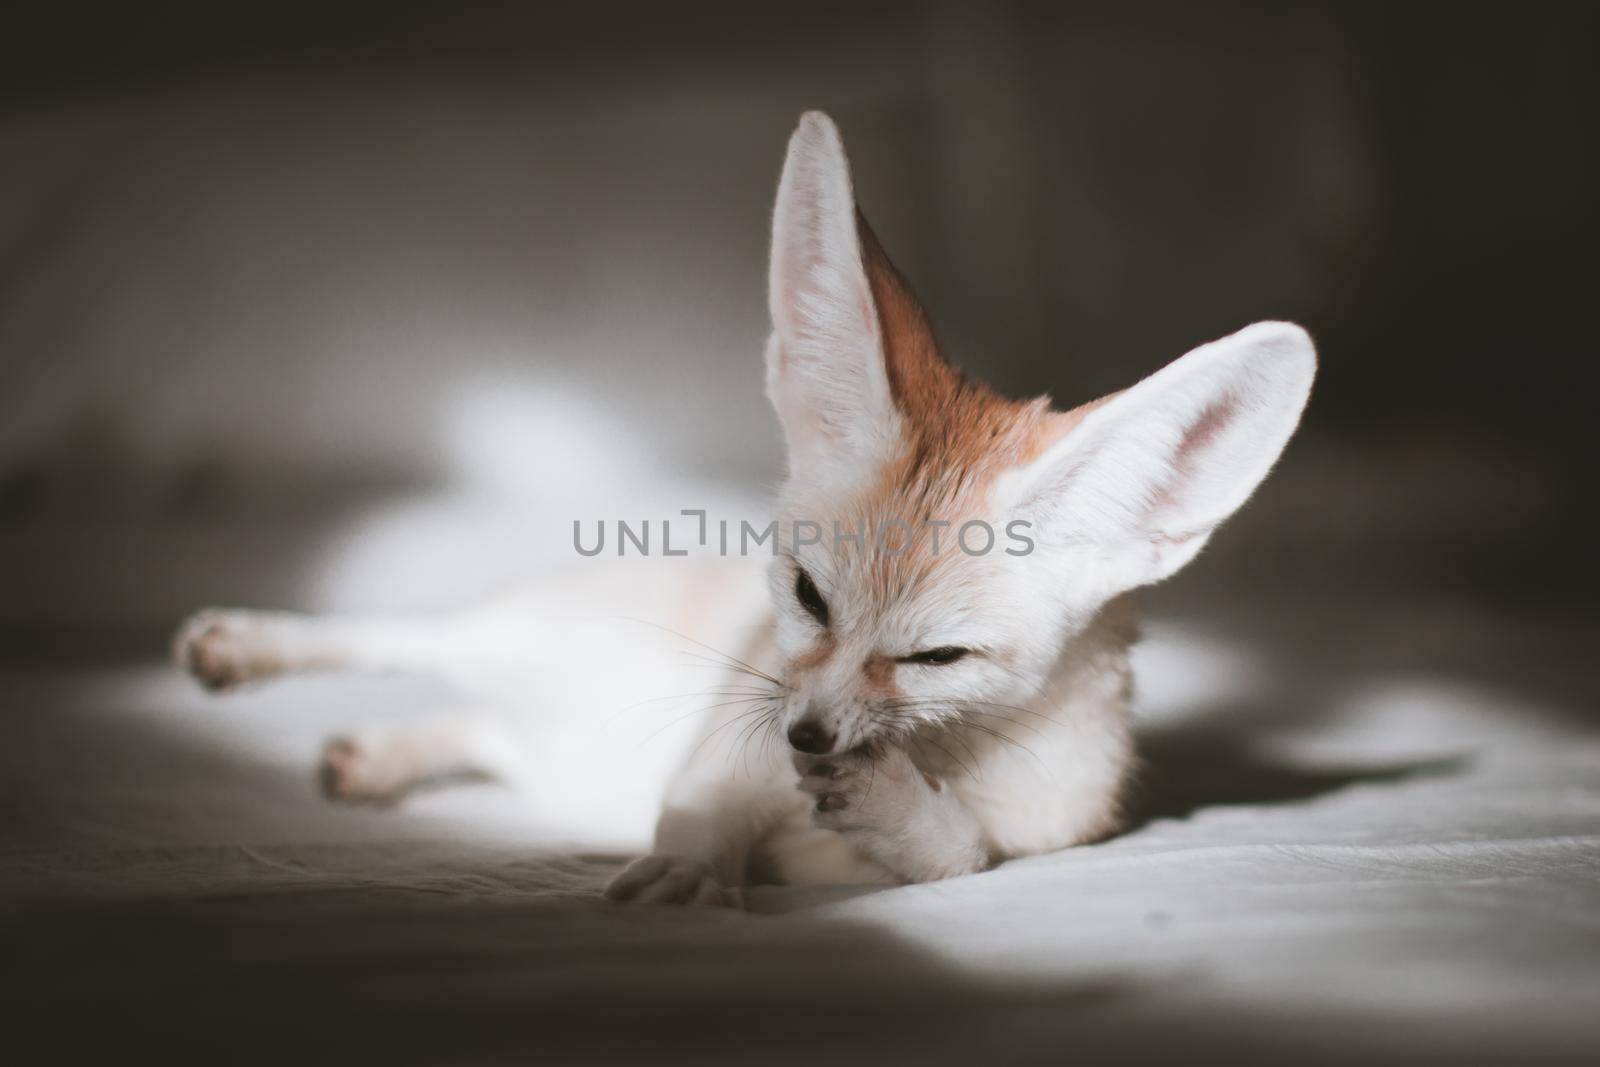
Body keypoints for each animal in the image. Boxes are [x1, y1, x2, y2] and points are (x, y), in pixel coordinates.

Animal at [175, 115, 1312, 902]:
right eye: (807, 596)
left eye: (937, 657)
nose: (805, 733)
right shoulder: (725, 740)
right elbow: (698, 810)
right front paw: (687, 868)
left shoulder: (1045, 831)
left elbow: (960, 856)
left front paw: (898, 810)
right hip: (516, 633)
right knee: (406, 640)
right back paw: (248, 646)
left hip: (540, 727)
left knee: (476, 725)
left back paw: (384, 755)